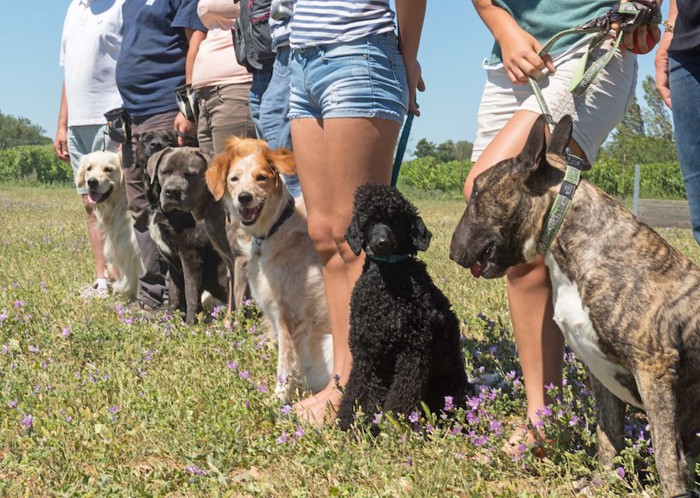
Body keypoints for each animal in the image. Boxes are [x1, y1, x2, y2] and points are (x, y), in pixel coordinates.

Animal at [206, 137, 332, 400]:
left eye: (261, 177)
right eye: (234, 178)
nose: (244, 197)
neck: (274, 228)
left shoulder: (290, 317)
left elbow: (285, 366)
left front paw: (278, 401)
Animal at [448, 115, 700, 496]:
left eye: (477, 191)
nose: (451, 251)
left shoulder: (654, 370)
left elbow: (666, 455)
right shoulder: (601, 375)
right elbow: (608, 436)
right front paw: (604, 481)